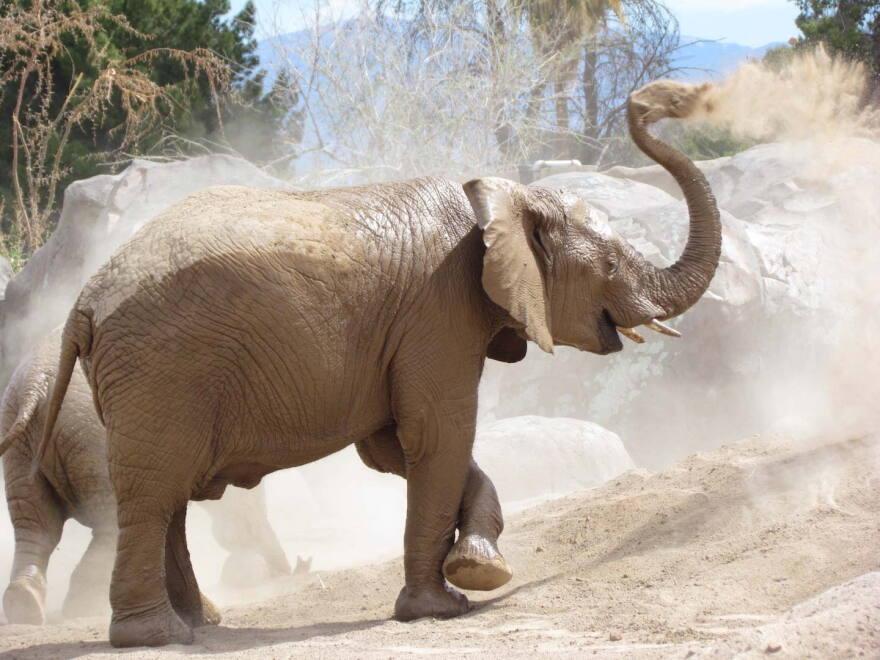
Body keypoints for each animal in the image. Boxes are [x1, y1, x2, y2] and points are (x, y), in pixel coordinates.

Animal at [0, 330, 294, 625]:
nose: (288, 570)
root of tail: (36, 384)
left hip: (21, 448)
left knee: (36, 527)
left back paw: (25, 605)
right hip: (92, 440)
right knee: (107, 522)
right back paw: (84, 606)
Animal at [39, 79, 721, 647]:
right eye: (611, 264)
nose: (653, 101)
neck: (500, 196)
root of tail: (84, 300)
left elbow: (396, 448)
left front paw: (477, 567)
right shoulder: (439, 312)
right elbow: (436, 436)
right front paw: (441, 608)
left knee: (170, 494)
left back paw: (200, 623)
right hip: (161, 368)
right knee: (154, 491)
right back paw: (156, 636)